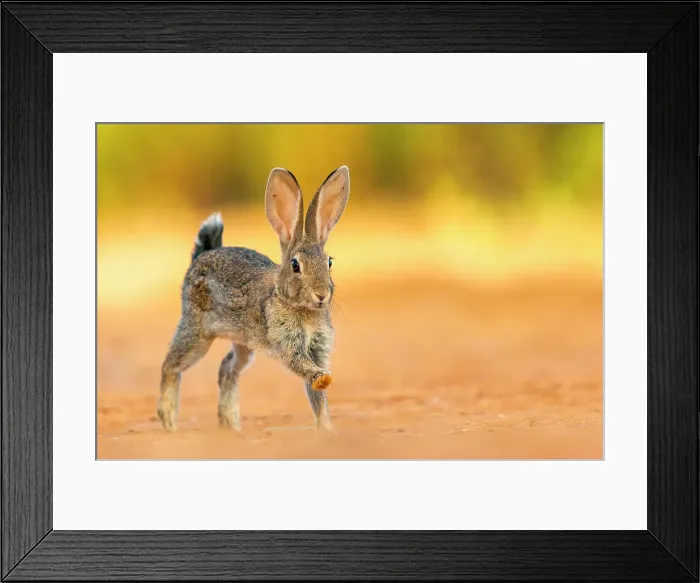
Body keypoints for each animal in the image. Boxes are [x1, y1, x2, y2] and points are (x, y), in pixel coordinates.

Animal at [156, 166, 350, 432]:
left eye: (329, 263)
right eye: (295, 265)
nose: (321, 294)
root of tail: (201, 257)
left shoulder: (318, 348)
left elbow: (318, 399)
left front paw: (327, 428)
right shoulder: (288, 344)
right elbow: (302, 366)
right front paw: (322, 378)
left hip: (244, 343)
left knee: (227, 368)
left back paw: (230, 424)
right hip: (197, 333)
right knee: (170, 366)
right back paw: (169, 421)